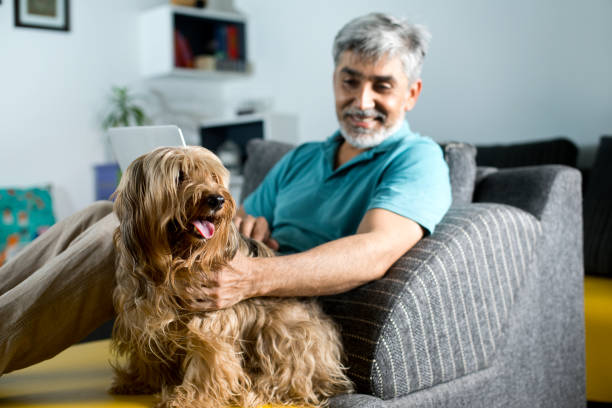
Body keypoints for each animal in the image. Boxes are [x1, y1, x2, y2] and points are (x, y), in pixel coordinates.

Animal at [110, 147, 354, 408]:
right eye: (180, 176)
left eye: (213, 176)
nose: (217, 200)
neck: (175, 263)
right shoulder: (139, 316)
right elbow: (146, 352)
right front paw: (140, 380)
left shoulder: (212, 320)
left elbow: (208, 359)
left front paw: (191, 398)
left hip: (284, 329)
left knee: (292, 381)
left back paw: (254, 392)